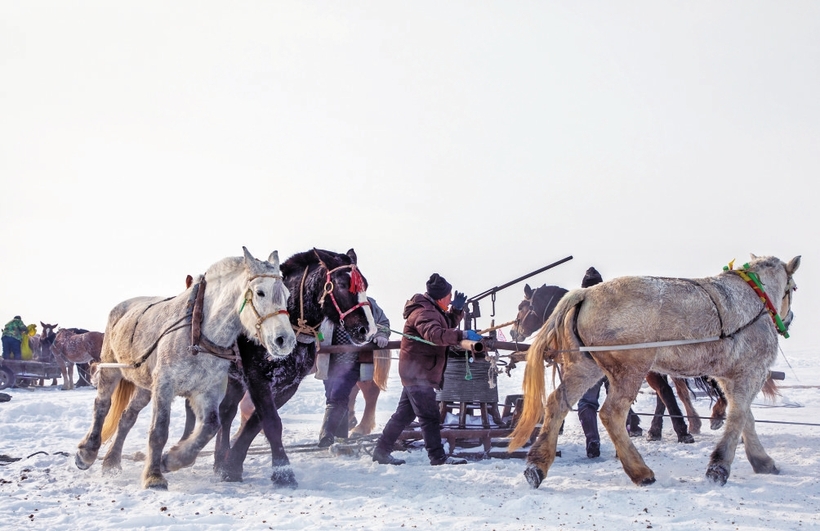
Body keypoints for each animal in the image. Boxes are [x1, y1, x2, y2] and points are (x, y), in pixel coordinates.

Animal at [75, 248, 296, 490]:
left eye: (286, 294)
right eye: (260, 292)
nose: (285, 340)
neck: (198, 335)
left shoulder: (206, 391)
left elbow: (210, 426)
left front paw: (171, 460)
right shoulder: (165, 385)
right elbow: (159, 431)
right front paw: (154, 476)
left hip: (145, 386)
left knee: (127, 417)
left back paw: (112, 462)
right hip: (111, 369)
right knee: (102, 406)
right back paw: (87, 452)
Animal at [181, 247, 376, 488]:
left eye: (364, 284)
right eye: (341, 283)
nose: (367, 329)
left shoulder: (287, 384)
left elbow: (257, 421)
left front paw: (231, 464)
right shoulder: (256, 378)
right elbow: (272, 422)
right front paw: (283, 472)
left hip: (235, 380)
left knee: (227, 412)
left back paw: (219, 459)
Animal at [512, 282, 700, 444]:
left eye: (521, 307)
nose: (514, 332)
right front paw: (634, 424)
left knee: (665, 391)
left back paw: (681, 431)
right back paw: (658, 430)